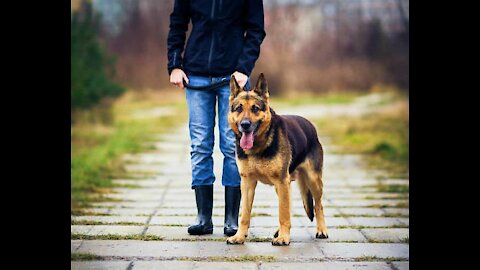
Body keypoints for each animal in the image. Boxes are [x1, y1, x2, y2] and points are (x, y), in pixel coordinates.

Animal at [227, 73, 328, 246]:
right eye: (239, 108)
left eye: (255, 108)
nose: (245, 125)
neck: (259, 146)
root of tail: (310, 125)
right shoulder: (247, 183)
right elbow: (244, 215)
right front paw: (239, 236)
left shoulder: (281, 181)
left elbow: (283, 213)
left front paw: (283, 238)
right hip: (282, 186)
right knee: (290, 205)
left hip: (312, 181)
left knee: (318, 205)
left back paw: (321, 230)